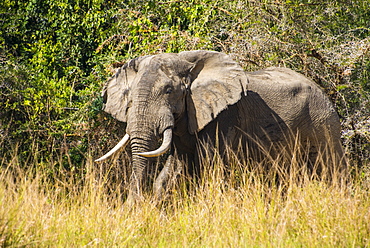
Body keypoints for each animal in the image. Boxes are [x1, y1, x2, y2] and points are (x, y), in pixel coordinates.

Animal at [94, 49, 344, 204]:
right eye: (131, 94)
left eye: (168, 90)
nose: (133, 204)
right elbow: (173, 171)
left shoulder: (222, 119)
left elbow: (210, 169)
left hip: (323, 122)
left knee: (332, 171)